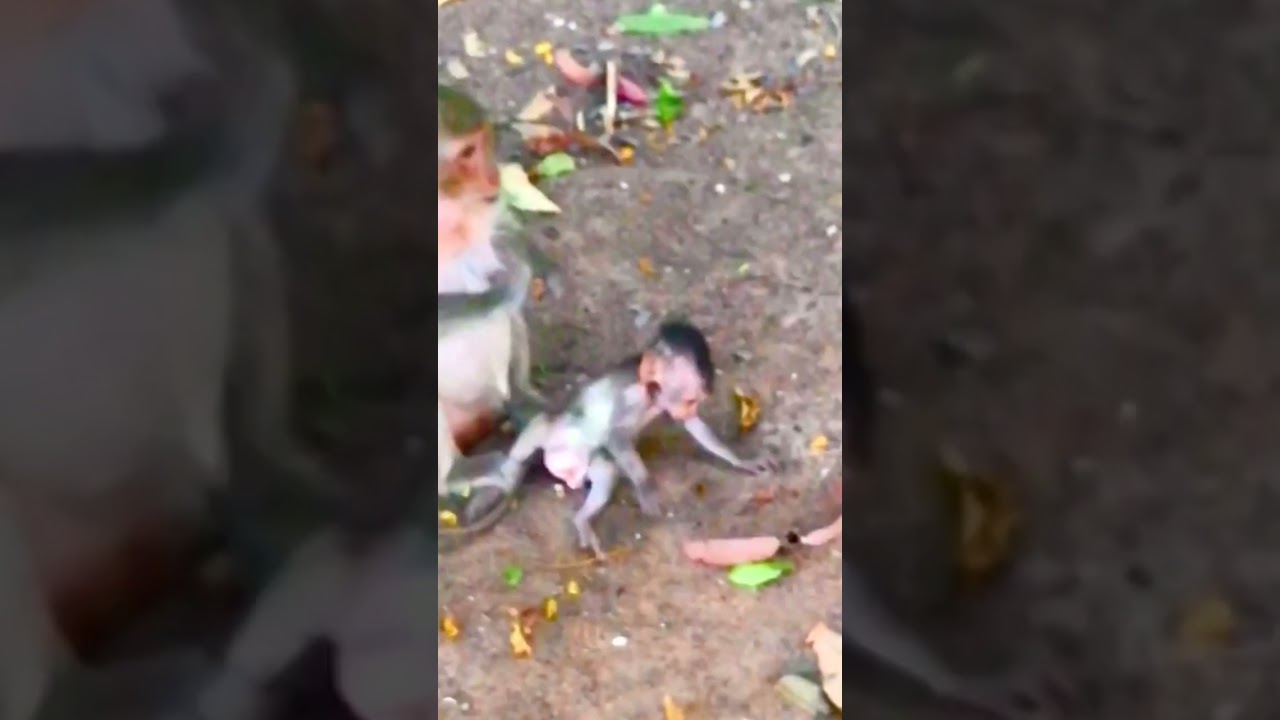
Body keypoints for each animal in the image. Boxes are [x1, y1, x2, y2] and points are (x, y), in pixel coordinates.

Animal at [450, 320, 776, 558]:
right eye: (691, 399)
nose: (692, 407)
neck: (650, 393)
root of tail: (562, 470)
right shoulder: (632, 396)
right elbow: (616, 435)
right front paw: (645, 486)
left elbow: (695, 428)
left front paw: (743, 460)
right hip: (556, 437)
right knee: (540, 427)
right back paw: (504, 479)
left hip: (583, 463)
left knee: (607, 470)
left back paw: (582, 518)